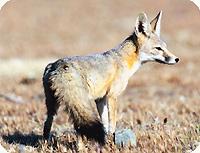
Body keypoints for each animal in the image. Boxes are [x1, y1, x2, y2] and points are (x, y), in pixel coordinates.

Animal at [42, 11, 180, 145]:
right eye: (158, 48)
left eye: (165, 47)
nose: (176, 59)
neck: (124, 59)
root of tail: (58, 65)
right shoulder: (112, 96)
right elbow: (112, 123)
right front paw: (111, 142)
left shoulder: (100, 99)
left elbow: (104, 124)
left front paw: (106, 141)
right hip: (78, 103)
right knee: (78, 128)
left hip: (53, 106)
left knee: (47, 124)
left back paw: (46, 144)